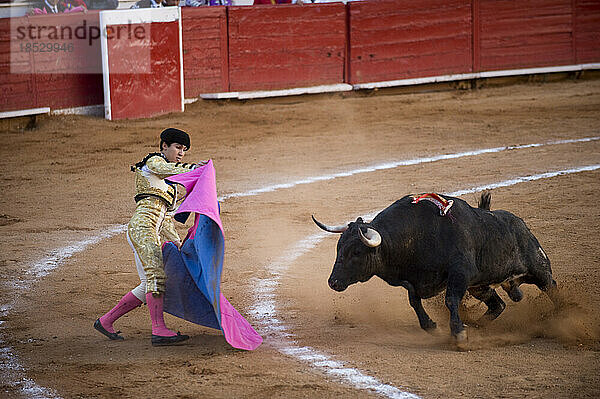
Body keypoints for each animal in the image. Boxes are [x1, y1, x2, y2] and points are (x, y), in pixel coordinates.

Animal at [312, 193, 560, 344]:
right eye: (338, 248)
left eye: (356, 252)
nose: (333, 282)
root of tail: (521, 225)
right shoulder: (415, 281)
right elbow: (414, 301)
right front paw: (431, 326)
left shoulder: (459, 273)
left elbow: (450, 300)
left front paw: (458, 334)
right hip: (479, 286)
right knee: (497, 304)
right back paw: (478, 326)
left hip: (538, 269)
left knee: (552, 287)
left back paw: (562, 315)